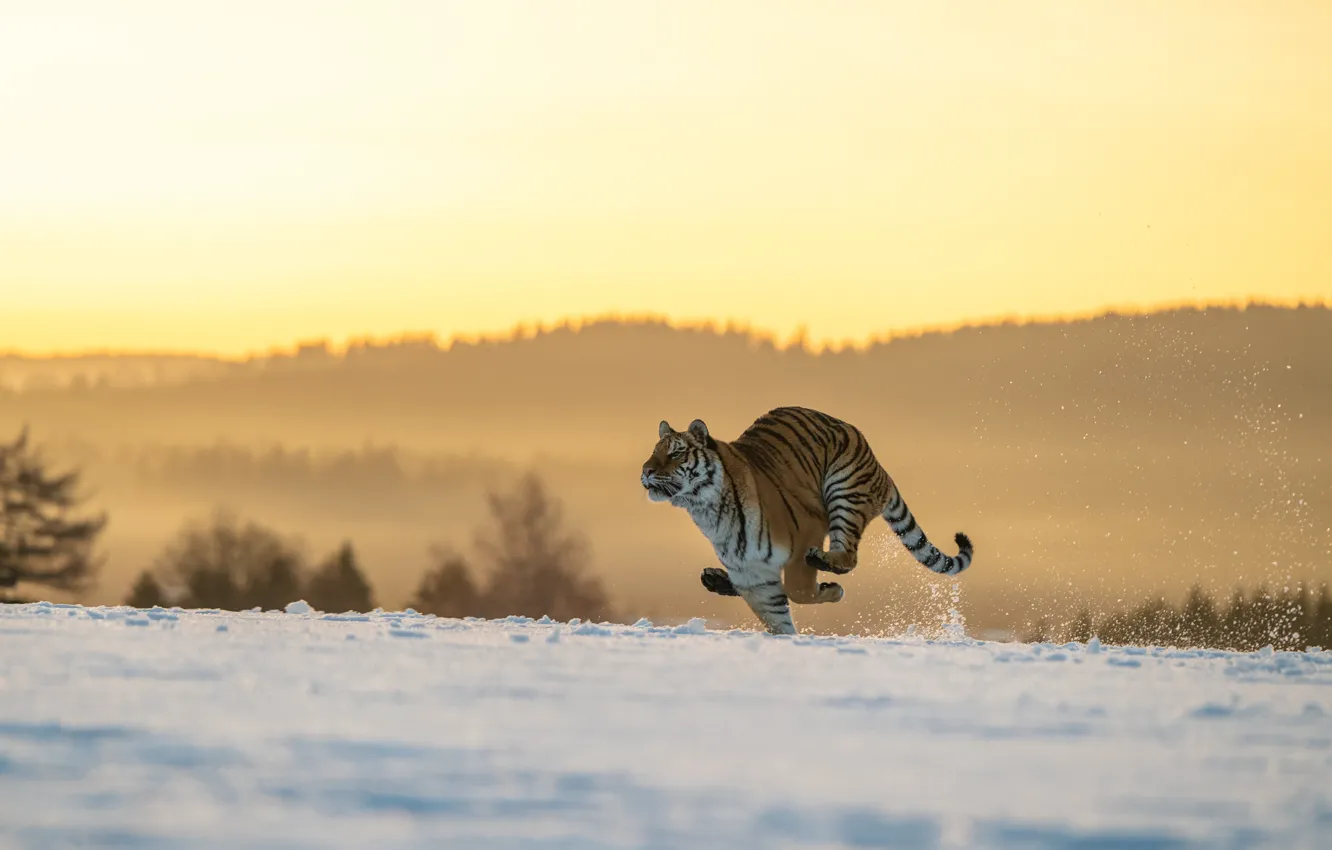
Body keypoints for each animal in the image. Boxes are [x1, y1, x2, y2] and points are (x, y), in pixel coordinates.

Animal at [639, 410, 975, 636]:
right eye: (653, 452)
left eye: (676, 453)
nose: (645, 470)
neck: (707, 510)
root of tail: (880, 468)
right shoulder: (752, 574)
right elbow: (777, 616)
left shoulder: (807, 530)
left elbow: (799, 590)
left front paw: (832, 591)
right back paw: (716, 579)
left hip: (844, 490)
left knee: (848, 556)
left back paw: (824, 561)